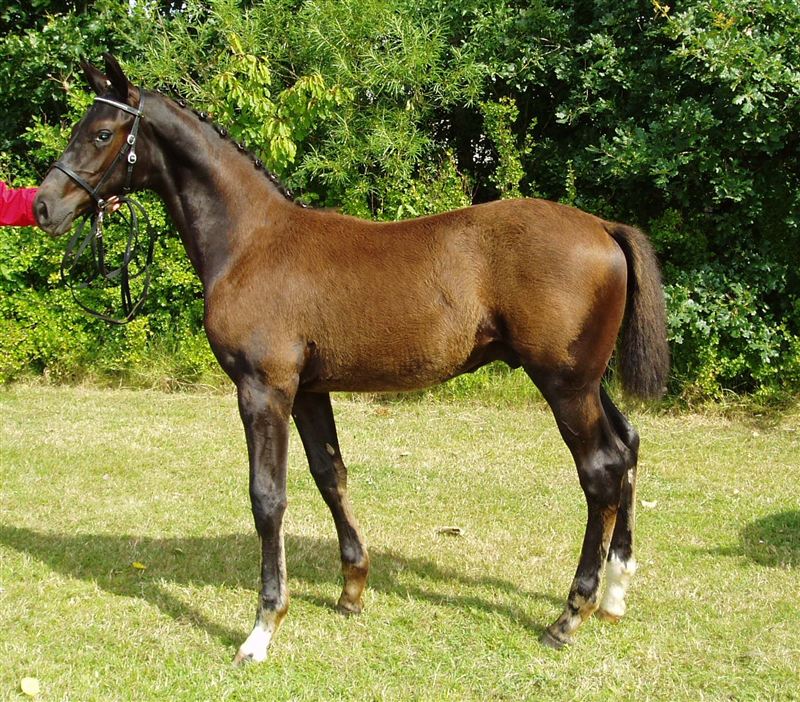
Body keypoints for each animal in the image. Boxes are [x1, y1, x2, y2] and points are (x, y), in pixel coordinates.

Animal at [35, 54, 669, 664]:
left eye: (103, 132)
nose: (43, 206)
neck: (251, 242)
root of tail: (603, 227)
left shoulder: (262, 388)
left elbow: (268, 497)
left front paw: (263, 628)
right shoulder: (309, 390)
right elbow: (329, 475)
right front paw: (352, 588)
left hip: (564, 384)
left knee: (601, 469)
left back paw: (570, 615)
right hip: (586, 380)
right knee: (628, 445)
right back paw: (615, 593)